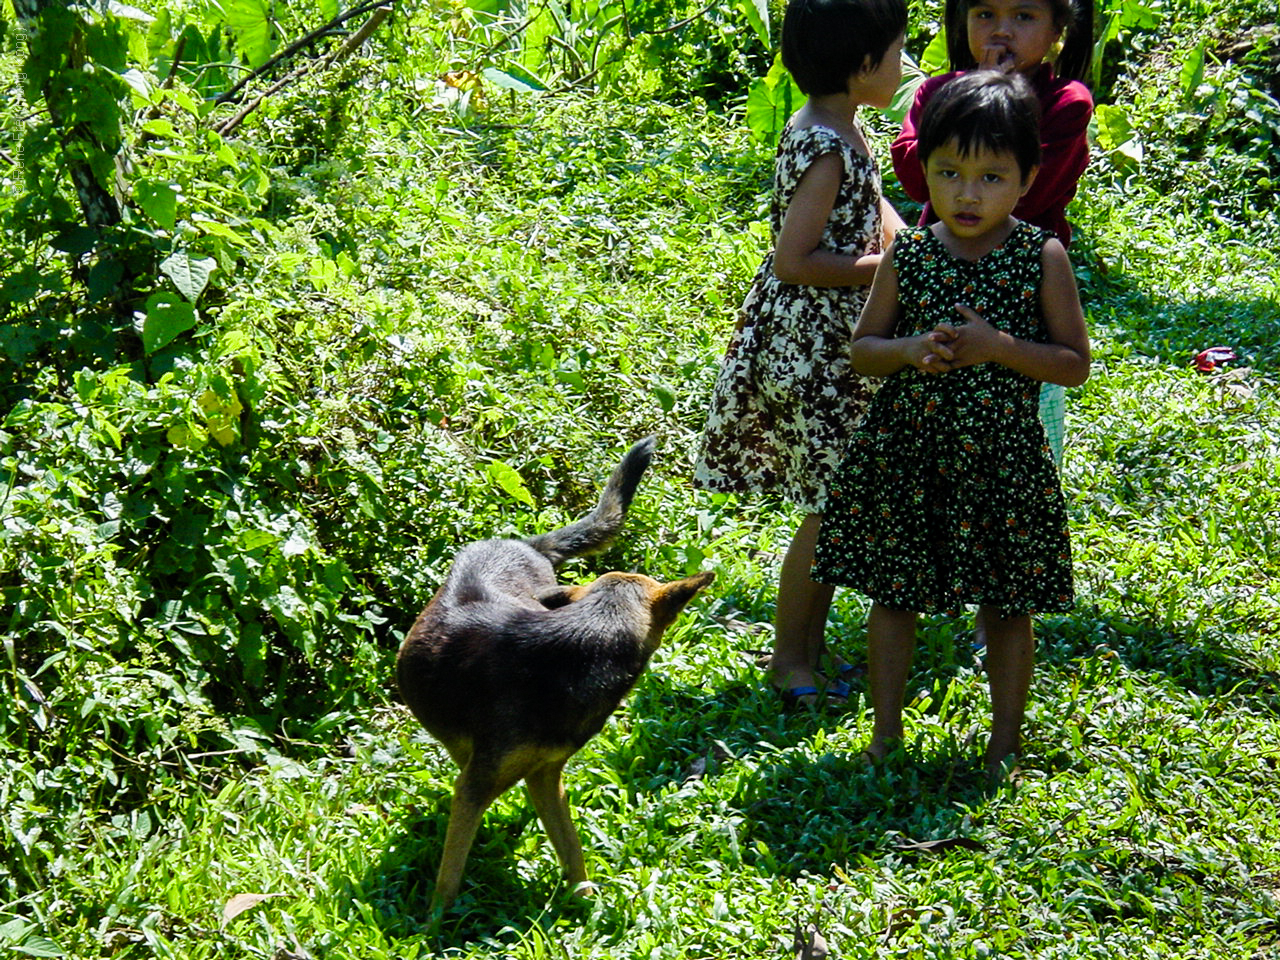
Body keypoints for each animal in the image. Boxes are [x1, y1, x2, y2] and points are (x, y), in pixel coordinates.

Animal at [394, 440, 716, 911]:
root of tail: (523, 543)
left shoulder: (547, 774)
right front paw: (436, 922)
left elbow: (571, 848)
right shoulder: (477, 783)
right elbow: (449, 878)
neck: (577, 653)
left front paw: (585, 906)